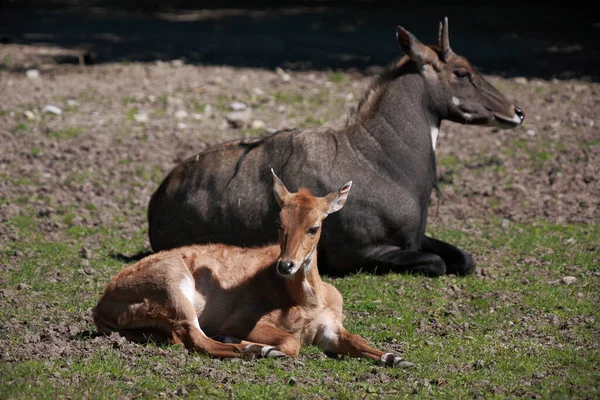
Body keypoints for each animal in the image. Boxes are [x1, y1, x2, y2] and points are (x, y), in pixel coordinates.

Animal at [148, 18, 524, 278]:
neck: (382, 159)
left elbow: (464, 259)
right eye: (461, 72)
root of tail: (159, 196)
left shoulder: (414, 239)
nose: (517, 112)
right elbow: (436, 263)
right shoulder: (365, 253)